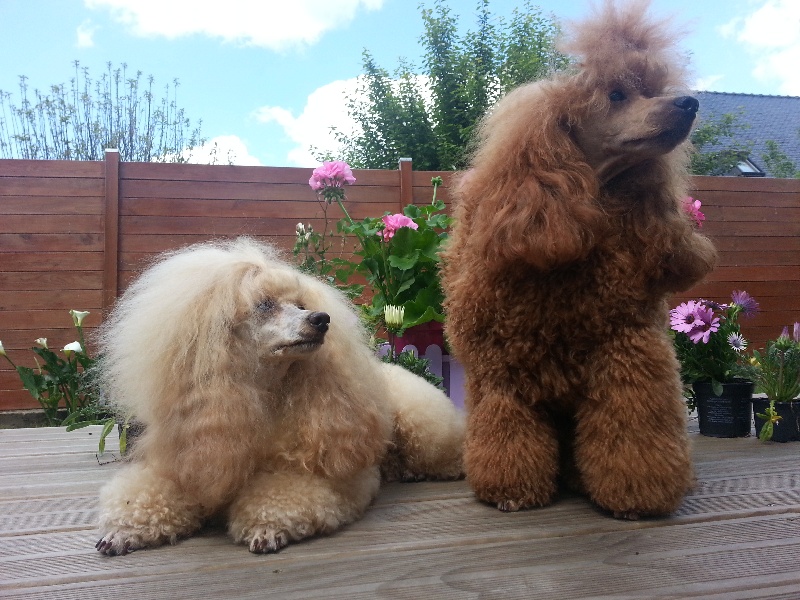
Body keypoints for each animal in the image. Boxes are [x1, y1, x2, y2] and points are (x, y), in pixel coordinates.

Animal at [94, 237, 462, 556]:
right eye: (265, 305)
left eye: (300, 305)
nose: (321, 319)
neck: (265, 395)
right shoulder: (185, 464)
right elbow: (151, 493)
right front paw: (124, 531)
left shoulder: (319, 472)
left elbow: (281, 495)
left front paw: (266, 527)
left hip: (420, 424)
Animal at [440, 0, 716, 520]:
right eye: (616, 95)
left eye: (651, 91)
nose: (688, 103)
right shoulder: (500, 371)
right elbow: (507, 432)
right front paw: (511, 490)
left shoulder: (626, 351)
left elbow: (632, 430)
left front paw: (636, 496)